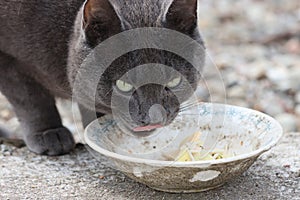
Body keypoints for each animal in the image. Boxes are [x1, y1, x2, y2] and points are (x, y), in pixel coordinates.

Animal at [0, 0, 204, 155]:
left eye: (174, 81)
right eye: (124, 85)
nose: (155, 118)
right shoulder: (8, 59)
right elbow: (32, 101)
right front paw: (50, 134)